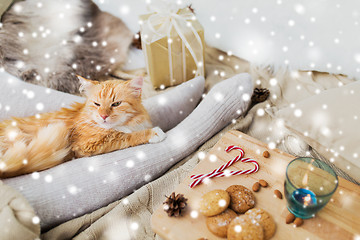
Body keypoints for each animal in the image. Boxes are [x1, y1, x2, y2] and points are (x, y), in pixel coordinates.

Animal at [0, 76, 166, 177]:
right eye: (97, 104)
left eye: (116, 104)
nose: (103, 116)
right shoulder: (87, 145)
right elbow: (125, 136)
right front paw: (153, 133)